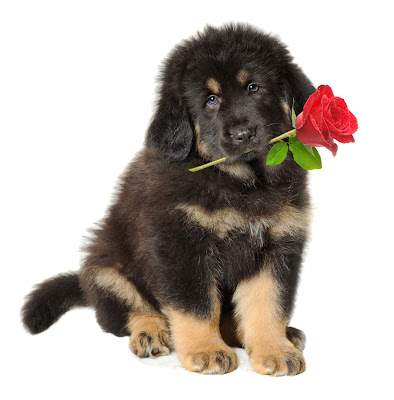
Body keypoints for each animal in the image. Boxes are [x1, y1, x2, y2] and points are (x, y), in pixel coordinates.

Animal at [23, 23, 316, 376]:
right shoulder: (180, 244)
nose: (244, 134)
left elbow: (268, 303)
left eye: (254, 87)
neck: (241, 182)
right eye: (211, 100)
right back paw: (151, 333)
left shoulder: (278, 244)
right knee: (130, 312)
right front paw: (206, 350)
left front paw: (274, 350)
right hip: (105, 270)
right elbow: (197, 305)